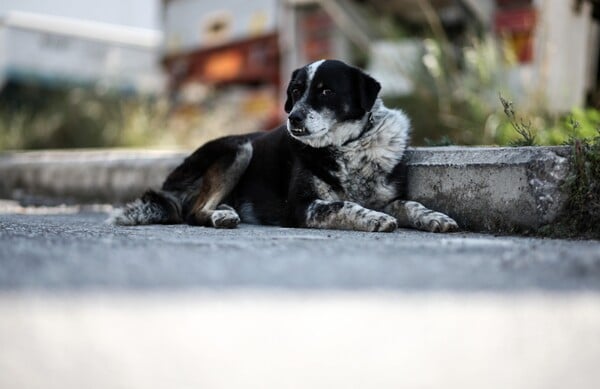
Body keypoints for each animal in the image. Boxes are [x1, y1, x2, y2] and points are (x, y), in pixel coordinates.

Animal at [110, 59, 460, 232]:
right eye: (295, 90)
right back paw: (220, 217)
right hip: (240, 149)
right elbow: (344, 205)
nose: (293, 118)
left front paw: (436, 217)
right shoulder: (302, 206)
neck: (350, 145)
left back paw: (226, 210)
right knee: (192, 212)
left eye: (326, 91)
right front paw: (374, 219)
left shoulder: (389, 198)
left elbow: (411, 205)